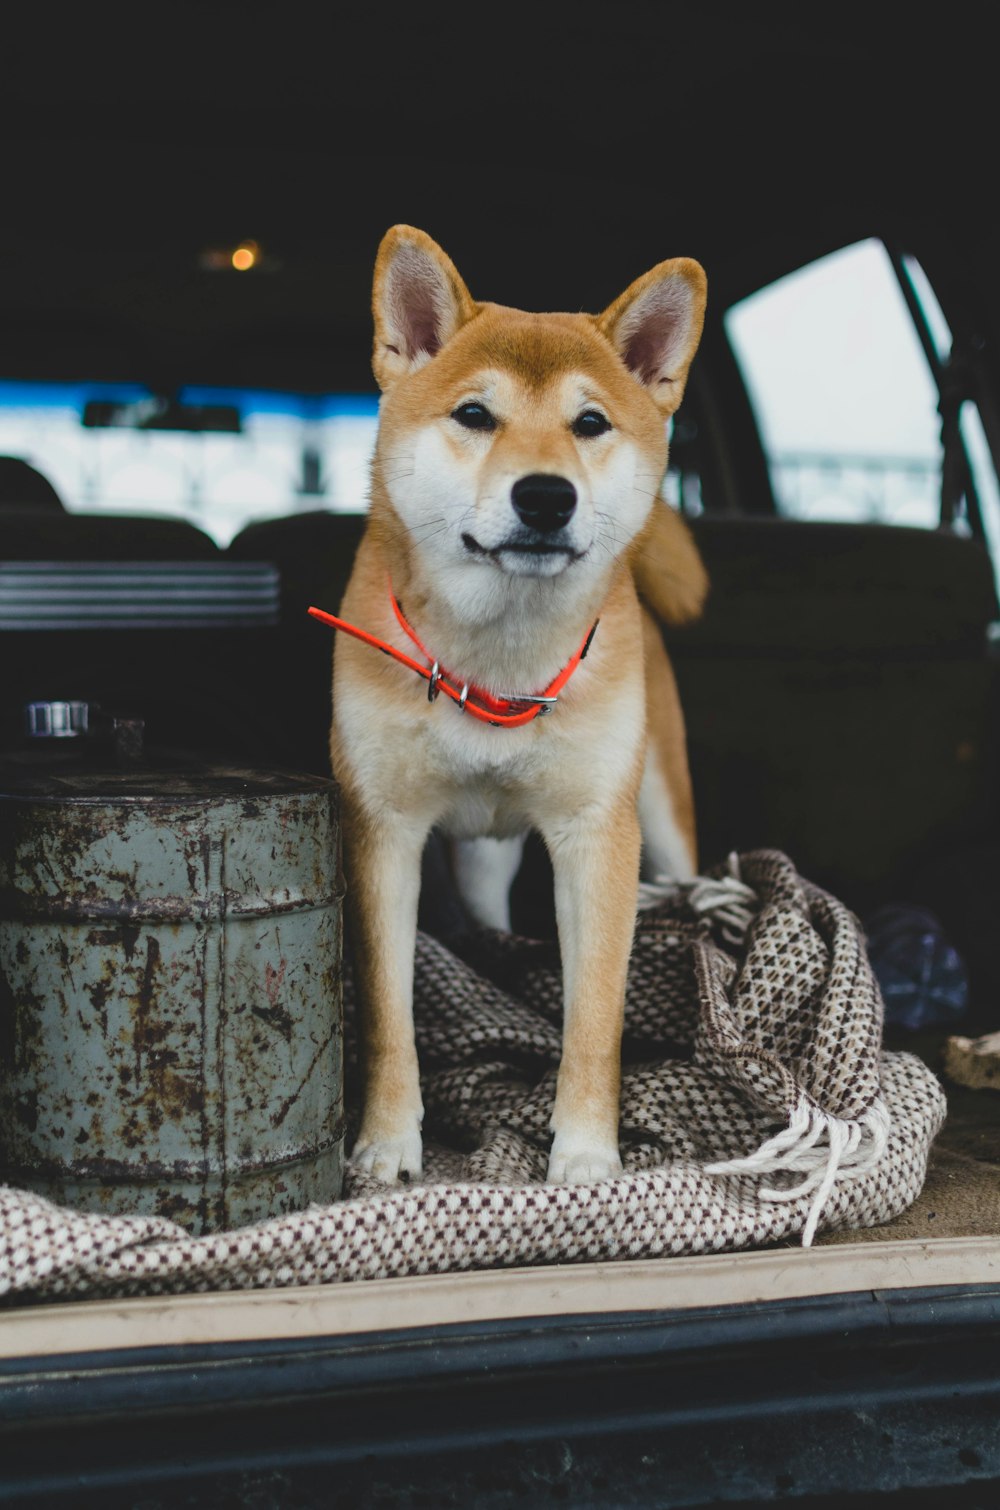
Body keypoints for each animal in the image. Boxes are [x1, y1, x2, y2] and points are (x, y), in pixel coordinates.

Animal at [324, 226, 709, 1189]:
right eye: (473, 415)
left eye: (590, 424)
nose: (545, 495)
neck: (498, 656)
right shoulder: (383, 830)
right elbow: (389, 1017)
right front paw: (386, 1144)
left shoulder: (598, 837)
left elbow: (594, 1018)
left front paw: (587, 1155)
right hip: (477, 852)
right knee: (492, 917)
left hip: (664, 816)